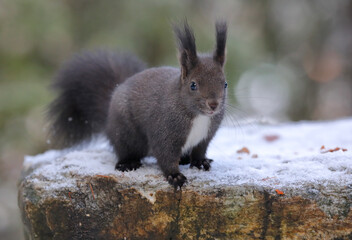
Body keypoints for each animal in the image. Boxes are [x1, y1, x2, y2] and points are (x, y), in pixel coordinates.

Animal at [47, 21, 228, 188]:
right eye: (193, 85)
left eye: (225, 84)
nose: (213, 104)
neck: (198, 116)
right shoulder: (164, 131)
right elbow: (165, 155)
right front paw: (175, 176)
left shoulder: (205, 136)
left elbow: (199, 150)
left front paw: (200, 162)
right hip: (125, 133)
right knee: (124, 149)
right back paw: (128, 163)